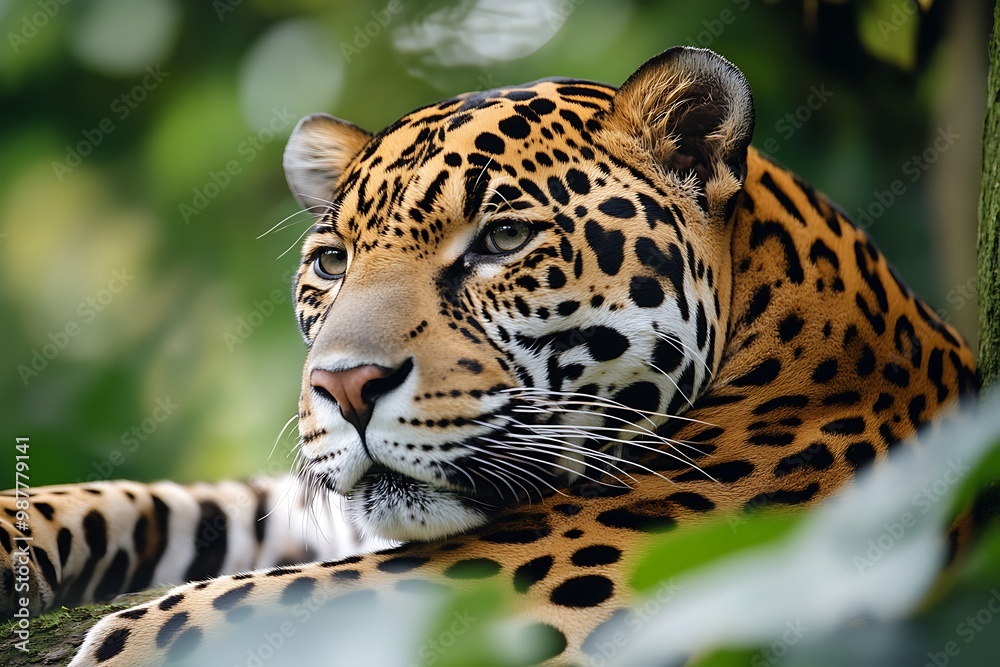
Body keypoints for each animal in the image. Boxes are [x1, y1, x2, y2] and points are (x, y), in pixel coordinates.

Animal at [0, 46, 978, 666]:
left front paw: (126, 643)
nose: (344, 384)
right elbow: (163, 503)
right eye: (332, 262)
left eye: (503, 239)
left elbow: (254, 606)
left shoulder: (573, 573)